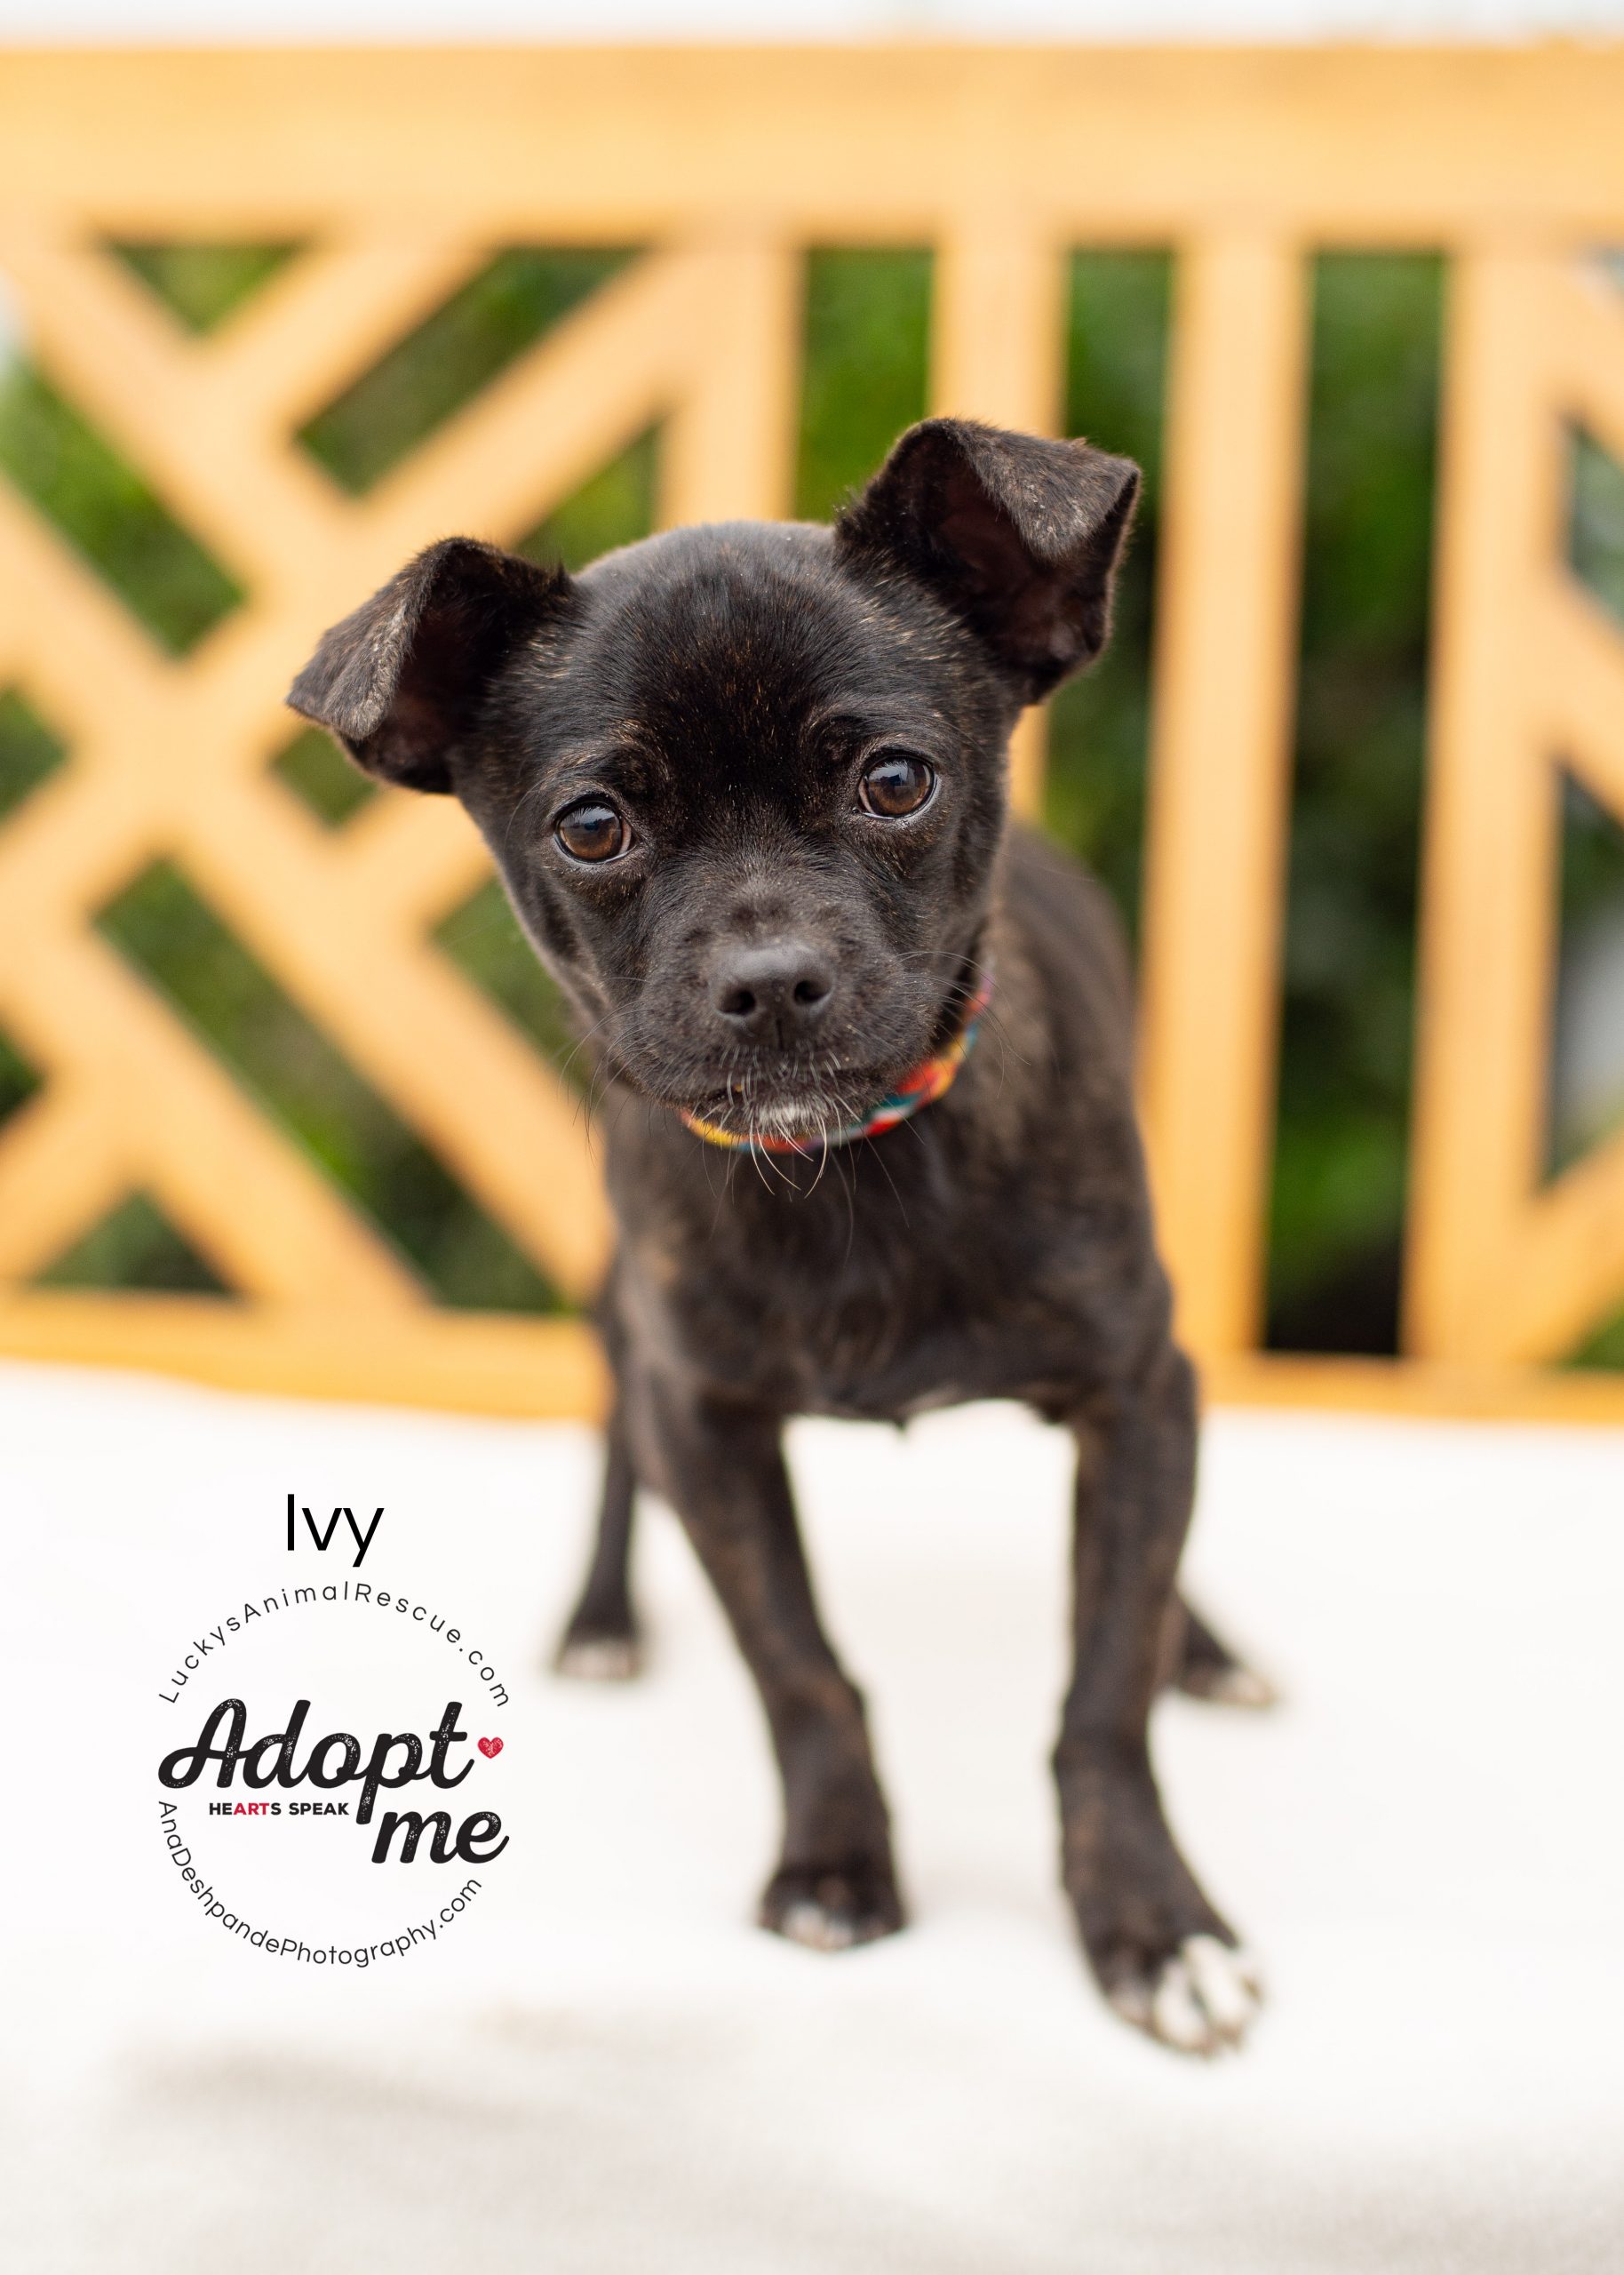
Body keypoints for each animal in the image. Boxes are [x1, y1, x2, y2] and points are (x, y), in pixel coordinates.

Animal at [290, 417, 1268, 2055]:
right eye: (594, 827)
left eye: (894, 781)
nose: (767, 979)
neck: (851, 1165)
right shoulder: (709, 1418)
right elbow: (799, 1670)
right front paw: (833, 1868)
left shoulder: (1137, 1382)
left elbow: (1103, 1685)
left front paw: (1151, 1923)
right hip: (620, 1316)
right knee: (614, 1444)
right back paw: (604, 1617)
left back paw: (1207, 1643)